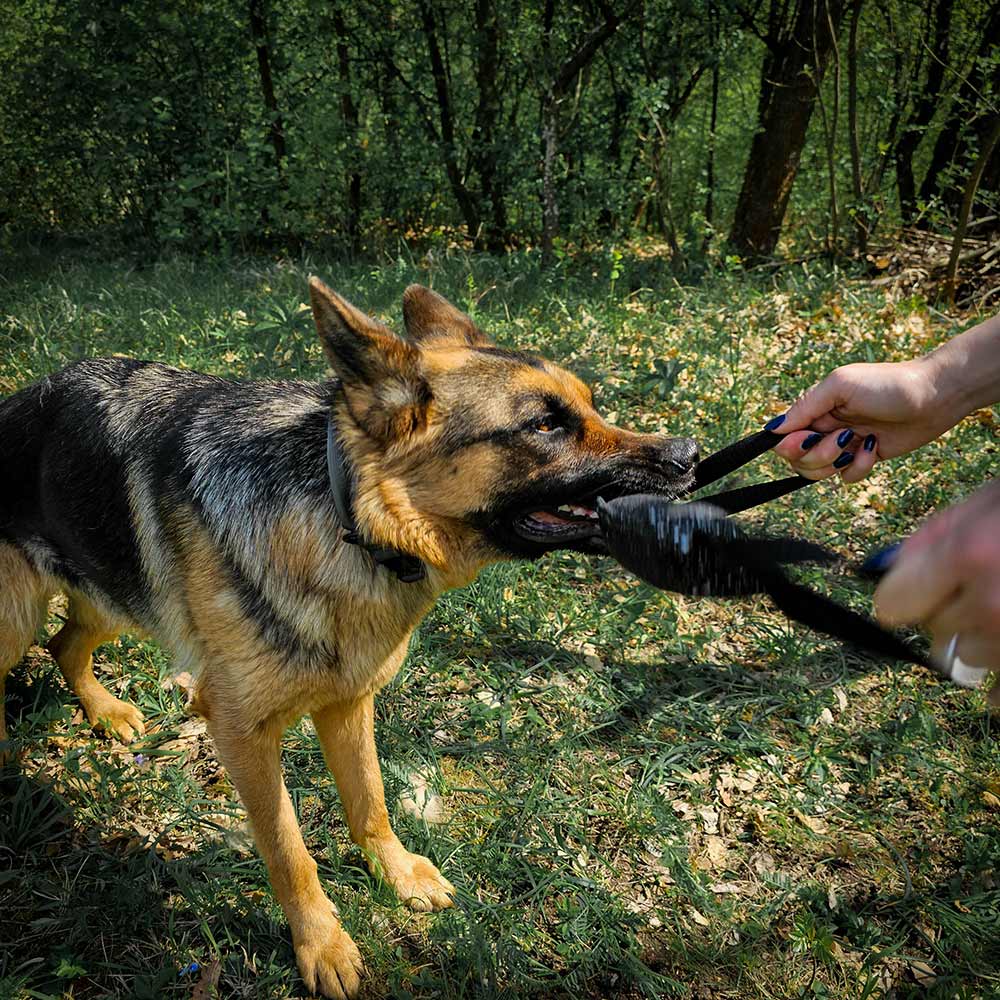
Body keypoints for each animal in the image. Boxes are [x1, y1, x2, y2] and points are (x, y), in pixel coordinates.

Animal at [0, 278, 700, 996]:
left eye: (589, 405)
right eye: (545, 425)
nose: (689, 456)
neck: (347, 516)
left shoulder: (348, 702)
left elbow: (371, 801)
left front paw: (399, 874)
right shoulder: (241, 731)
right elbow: (289, 851)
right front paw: (322, 943)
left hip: (106, 589)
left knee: (65, 645)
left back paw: (104, 711)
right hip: (18, 616)